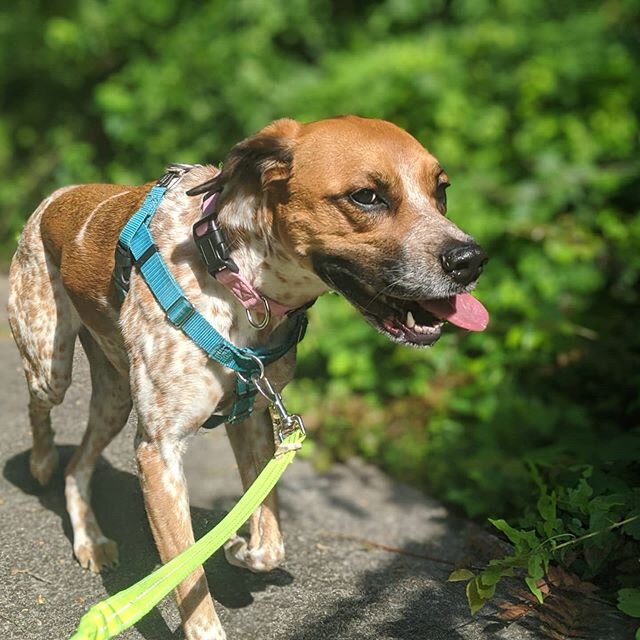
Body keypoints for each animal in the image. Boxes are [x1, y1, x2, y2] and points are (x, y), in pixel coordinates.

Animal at [7, 116, 488, 640]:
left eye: (441, 191)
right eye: (366, 196)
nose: (471, 259)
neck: (232, 274)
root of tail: (56, 196)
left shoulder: (253, 418)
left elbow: (269, 537)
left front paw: (240, 548)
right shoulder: (159, 450)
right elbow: (188, 577)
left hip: (115, 399)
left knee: (79, 467)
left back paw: (90, 538)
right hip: (51, 366)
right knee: (41, 412)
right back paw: (42, 462)